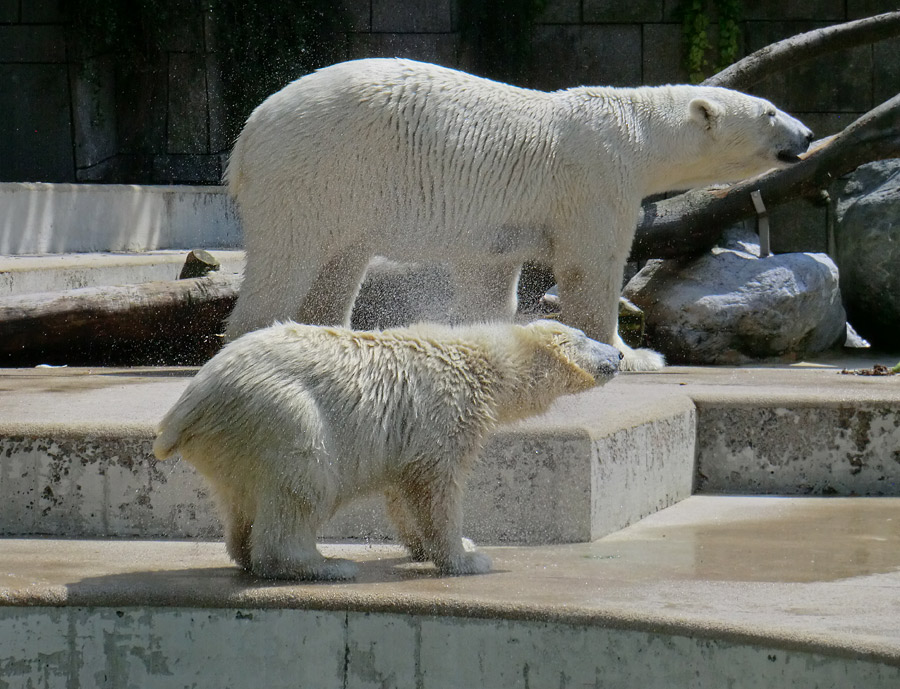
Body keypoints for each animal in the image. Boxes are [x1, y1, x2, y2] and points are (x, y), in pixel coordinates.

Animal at [227, 57, 816, 370]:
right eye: (769, 111)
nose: (808, 134)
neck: (638, 132)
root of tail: (248, 135)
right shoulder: (595, 176)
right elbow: (590, 268)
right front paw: (633, 355)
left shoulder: (501, 223)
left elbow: (491, 277)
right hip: (316, 170)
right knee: (287, 261)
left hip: (342, 195)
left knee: (339, 264)